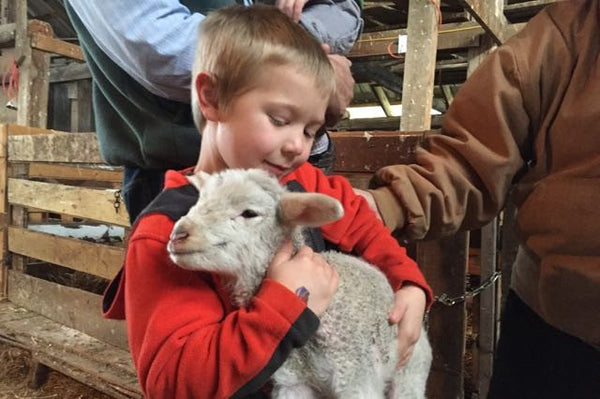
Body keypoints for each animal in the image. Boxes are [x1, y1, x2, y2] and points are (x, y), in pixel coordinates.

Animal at [166, 169, 434, 399]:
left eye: (249, 213)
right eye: (198, 202)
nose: (179, 235)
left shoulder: (357, 378)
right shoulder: (294, 381)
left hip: (410, 372)